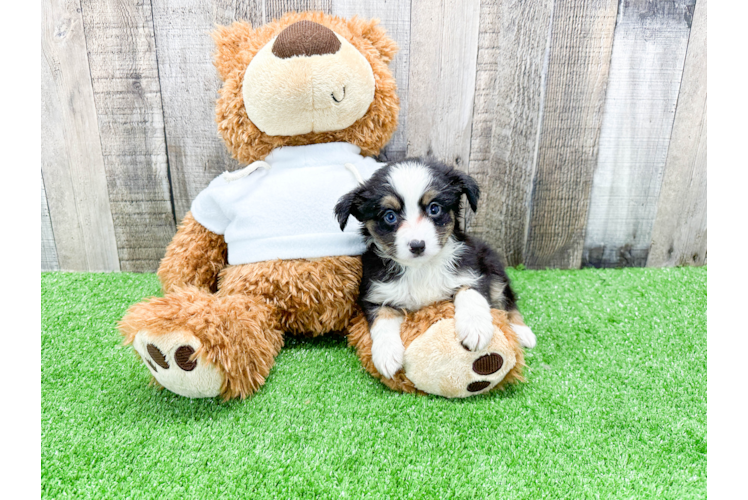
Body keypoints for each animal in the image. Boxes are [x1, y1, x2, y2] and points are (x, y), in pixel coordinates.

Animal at [334, 158, 536, 376]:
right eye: (389, 216)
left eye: (434, 208)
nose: (417, 246)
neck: (421, 268)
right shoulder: (375, 292)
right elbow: (383, 319)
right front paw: (386, 354)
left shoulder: (471, 270)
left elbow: (470, 293)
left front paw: (475, 328)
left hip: (492, 266)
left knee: (507, 300)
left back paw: (522, 332)